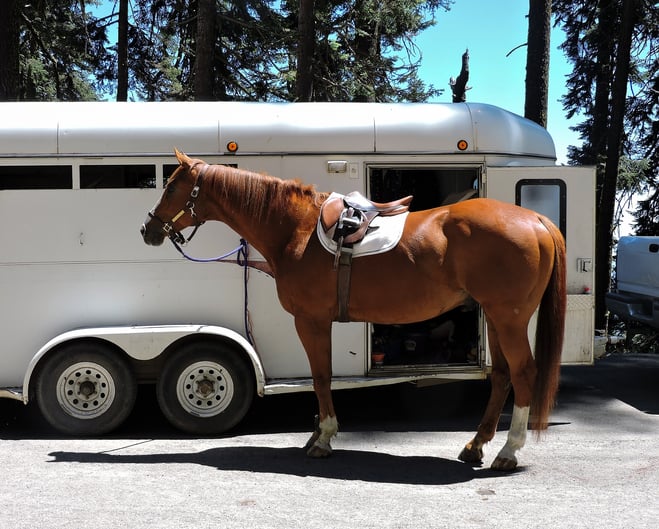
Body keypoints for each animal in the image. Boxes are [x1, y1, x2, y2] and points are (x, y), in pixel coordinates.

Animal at [141, 150, 568, 470]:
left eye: (172, 185)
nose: (148, 231)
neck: (293, 230)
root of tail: (535, 219)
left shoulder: (310, 320)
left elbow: (320, 377)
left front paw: (323, 438)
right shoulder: (318, 322)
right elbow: (323, 377)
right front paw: (318, 433)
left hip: (509, 318)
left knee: (523, 373)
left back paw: (508, 452)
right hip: (494, 318)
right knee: (502, 376)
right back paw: (475, 446)